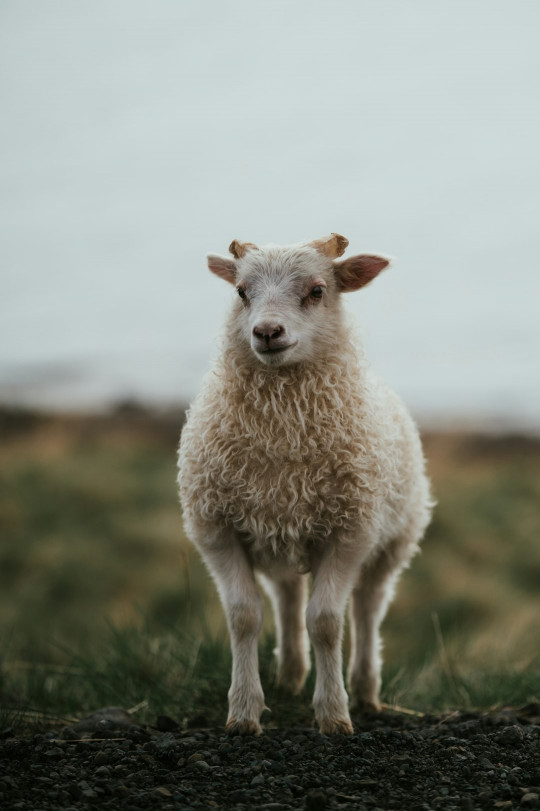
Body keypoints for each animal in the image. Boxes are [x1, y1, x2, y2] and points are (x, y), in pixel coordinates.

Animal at [179, 233, 432, 736]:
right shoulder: (217, 529)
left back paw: (366, 689)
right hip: (278, 533)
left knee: (367, 608)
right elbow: (244, 617)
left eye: (317, 290)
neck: (283, 435)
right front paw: (243, 711)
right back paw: (290, 675)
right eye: (241, 292)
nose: (267, 332)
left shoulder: (350, 532)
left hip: (392, 542)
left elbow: (328, 622)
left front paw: (334, 713)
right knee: (288, 599)